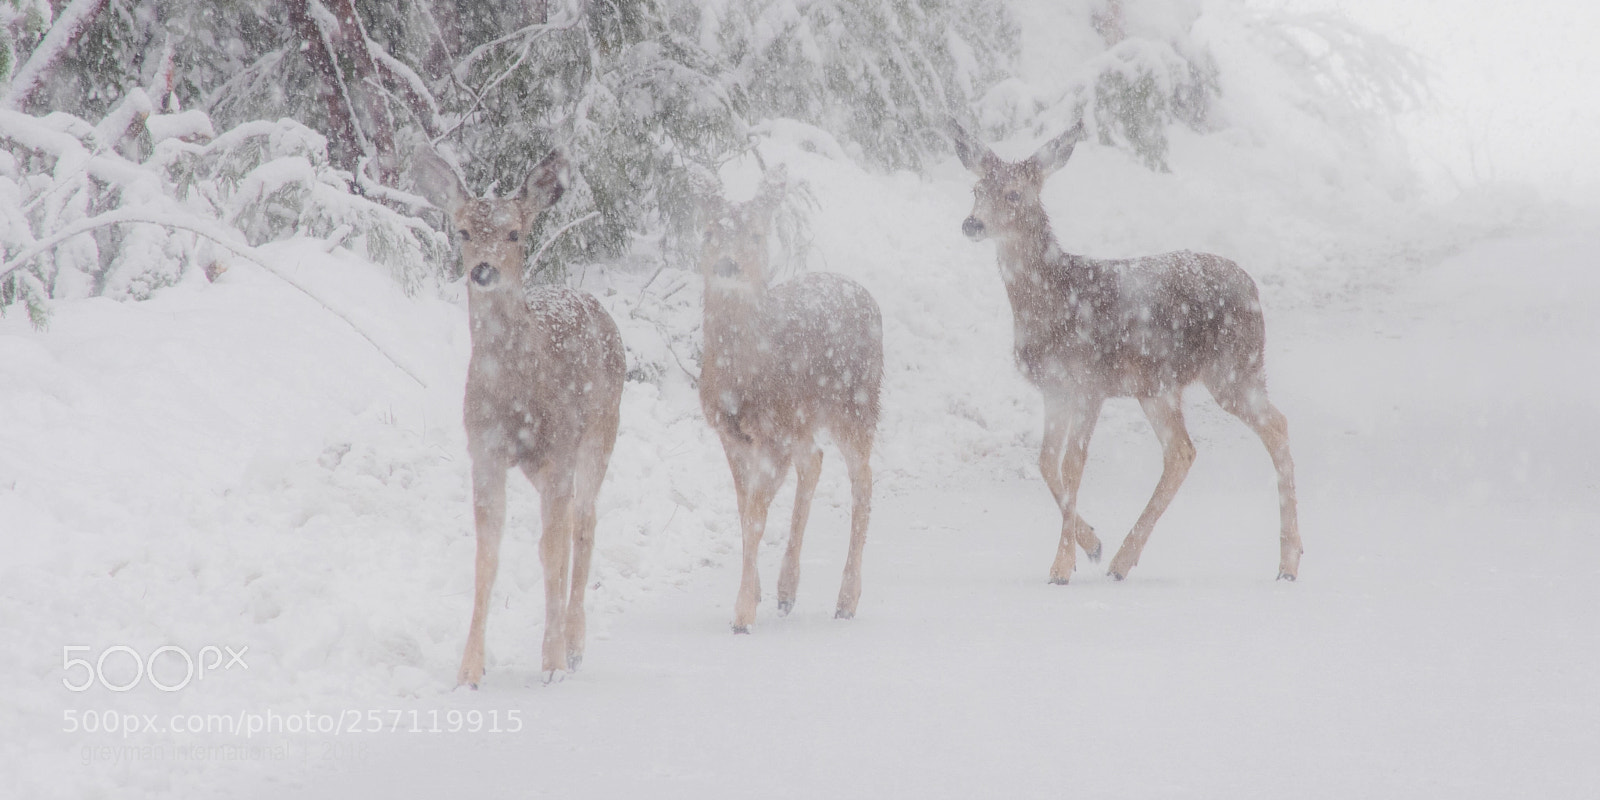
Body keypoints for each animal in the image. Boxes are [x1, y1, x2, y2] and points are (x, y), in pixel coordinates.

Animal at [411, 148, 626, 687]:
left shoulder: (559, 449)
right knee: (571, 524)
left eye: (513, 233)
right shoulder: (485, 451)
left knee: (583, 523)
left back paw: (575, 645)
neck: (515, 397)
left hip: (600, 432)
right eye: (464, 231)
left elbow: (550, 551)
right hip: (538, 465)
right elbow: (487, 556)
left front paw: (551, 665)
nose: (483, 270)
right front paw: (469, 670)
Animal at [697, 169, 884, 632]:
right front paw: (758, 594)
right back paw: (786, 592)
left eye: (757, 234)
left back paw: (846, 600)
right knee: (815, 460)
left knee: (863, 479)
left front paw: (742, 614)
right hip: (804, 418)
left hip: (857, 404)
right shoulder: (731, 434)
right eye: (708, 232)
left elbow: (756, 516)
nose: (728, 264)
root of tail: (868, 297)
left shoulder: (773, 431)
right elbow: (743, 509)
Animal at [946, 120, 1302, 583]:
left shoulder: (1089, 382)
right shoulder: (1055, 389)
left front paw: (1061, 566)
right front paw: (1092, 545)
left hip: (1233, 368)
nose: (971, 224)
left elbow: (1072, 465)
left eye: (1013, 193)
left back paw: (1288, 563)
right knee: (1182, 451)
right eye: (975, 189)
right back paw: (1119, 560)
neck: (1055, 300)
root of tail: (1252, 285)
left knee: (1275, 426)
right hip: (1157, 386)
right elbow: (1045, 462)